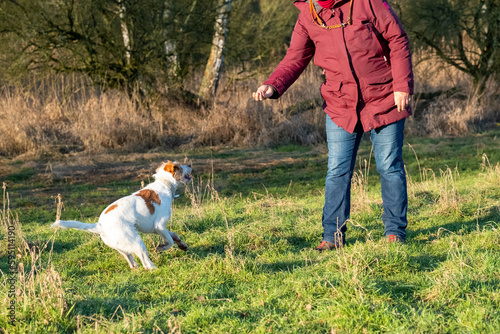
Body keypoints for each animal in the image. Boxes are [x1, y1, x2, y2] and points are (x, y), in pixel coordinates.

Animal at [50, 160, 191, 270]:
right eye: (179, 166)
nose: (189, 164)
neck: (164, 183)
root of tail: (100, 226)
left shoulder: (154, 228)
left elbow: (174, 236)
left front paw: (182, 245)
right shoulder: (159, 226)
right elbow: (170, 241)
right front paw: (161, 248)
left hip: (122, 246)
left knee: (131, 261)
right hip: (136, 241)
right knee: (145, 262)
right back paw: (155, 269)